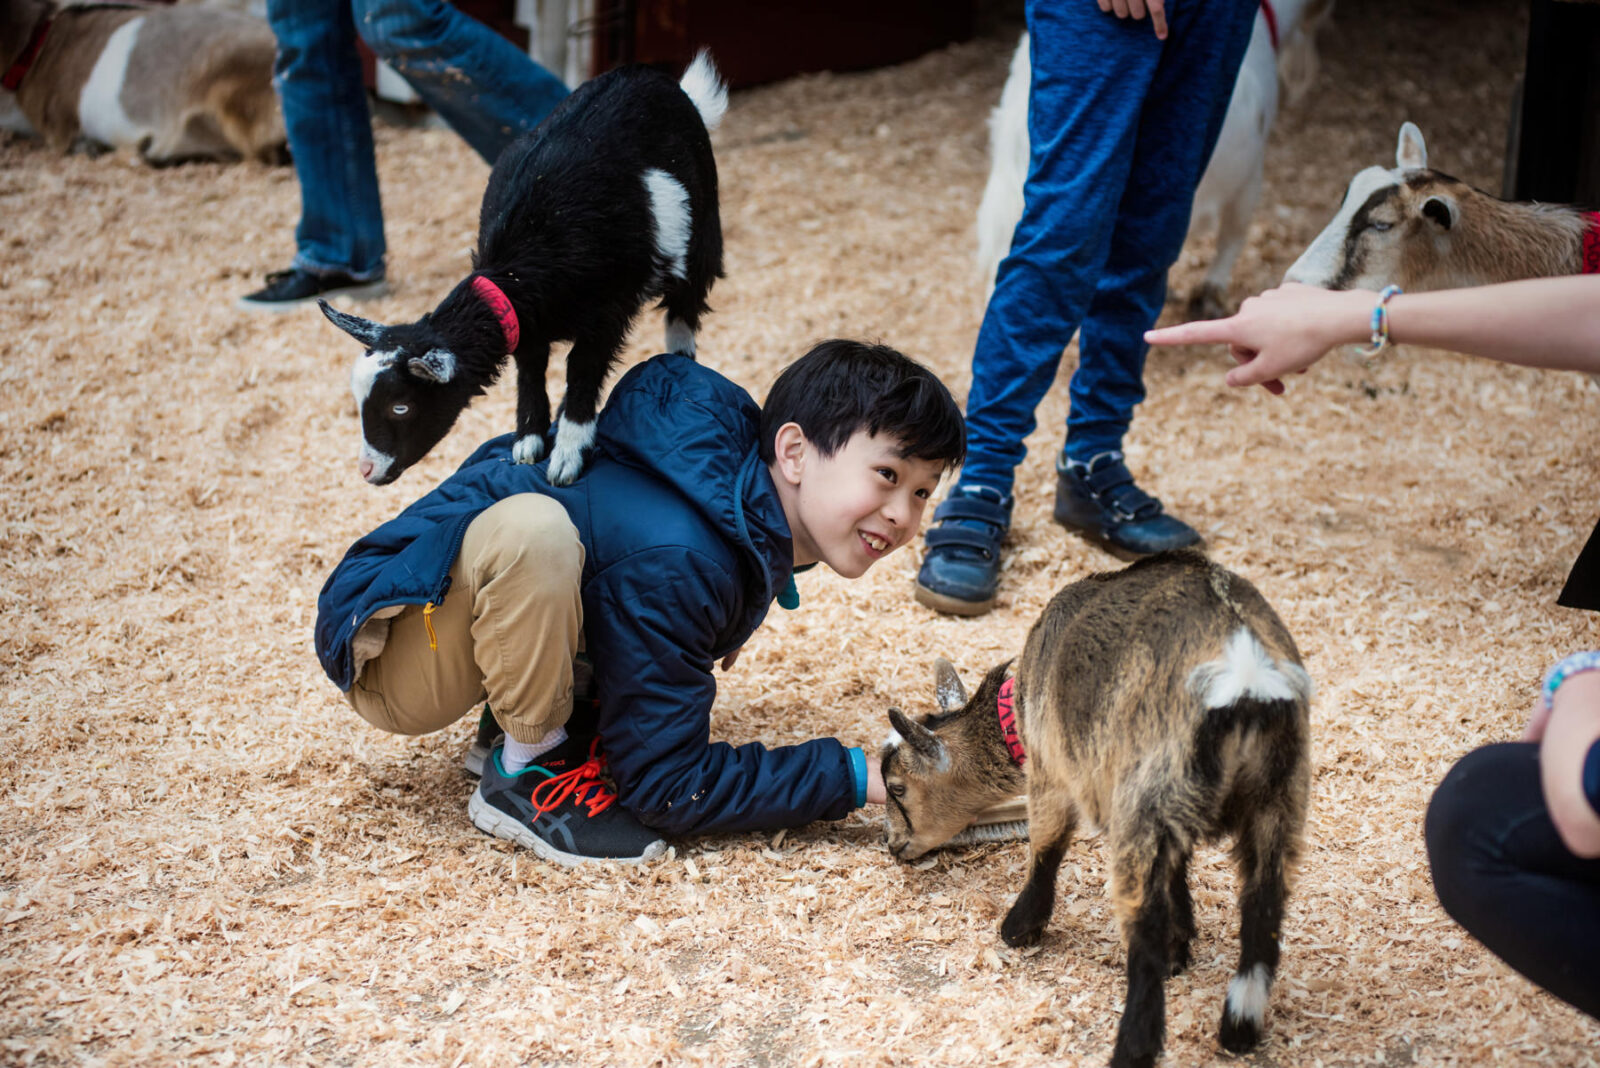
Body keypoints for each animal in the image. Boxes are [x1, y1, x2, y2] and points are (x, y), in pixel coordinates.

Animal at [324, 51, 726, 482]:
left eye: (401, 406)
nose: (368, 470)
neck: (521, 267)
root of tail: (660, 81)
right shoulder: (523, 324)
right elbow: (531, 370)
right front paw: (529, 440)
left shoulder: (607, 313)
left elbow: (582, 370)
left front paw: (567, 454)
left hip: (701, 234)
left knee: (684, 309)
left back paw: (680, 362)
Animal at [889, 549, 1312, 1068]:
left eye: (898, 788)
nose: (893, 845)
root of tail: (1244, 673)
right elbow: (1179, 873)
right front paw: (1182, 946)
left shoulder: (1053, 771)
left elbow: (1047, 849)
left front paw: (1018, 930)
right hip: (1277, 799)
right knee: (1263, 908)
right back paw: (1239, 1028)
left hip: (1145, 797)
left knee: (1144, 932)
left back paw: (1133, 1047)